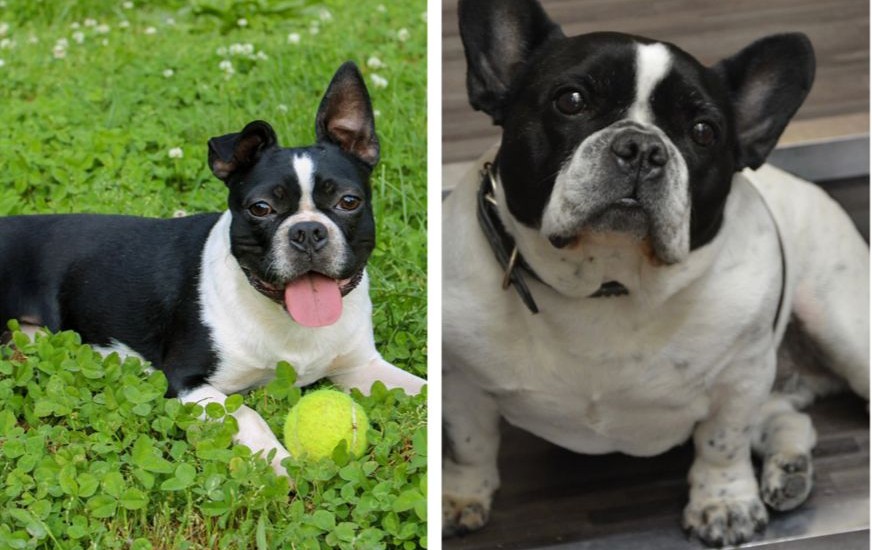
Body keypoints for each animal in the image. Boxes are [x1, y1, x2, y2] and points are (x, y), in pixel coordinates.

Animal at [0, 62, 424, 478]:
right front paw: (278, 462)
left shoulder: (362, 366)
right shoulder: (188, 382)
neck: (286, 320)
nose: (307, 231)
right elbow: (246, 413)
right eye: (260, 208)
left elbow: (422, 388)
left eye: (349, 201)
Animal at [446, 1, 868, 548]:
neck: (608, 284)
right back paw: (789, 469)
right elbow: (469, 442)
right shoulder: (461, 382)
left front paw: (724, 503)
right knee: (788, 418)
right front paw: (459, 495)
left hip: (844, 330)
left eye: (705, 132)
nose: (643, 148)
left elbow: (723, 442)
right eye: (571, 101)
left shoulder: (741, 377)